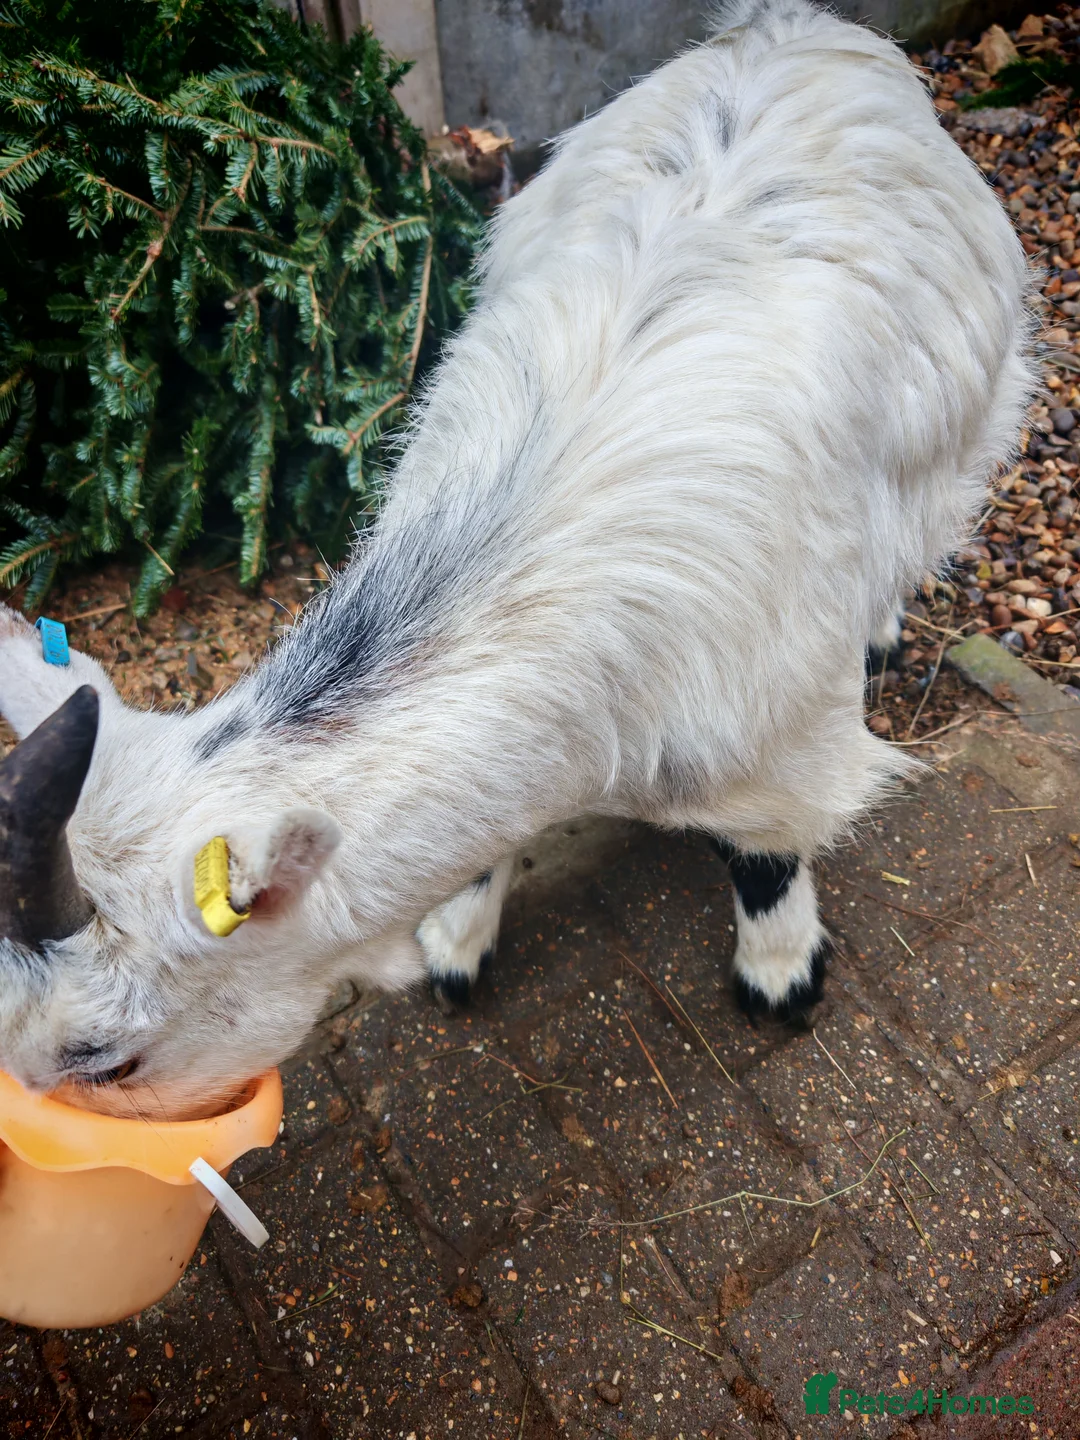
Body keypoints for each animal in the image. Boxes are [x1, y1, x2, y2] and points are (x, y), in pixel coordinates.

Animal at [0, 0, 1031, 1115]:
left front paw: (781, 974)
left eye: (105, 1056)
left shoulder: (780, 733)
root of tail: (796, 28)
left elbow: (766, 851)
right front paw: (458, 940)